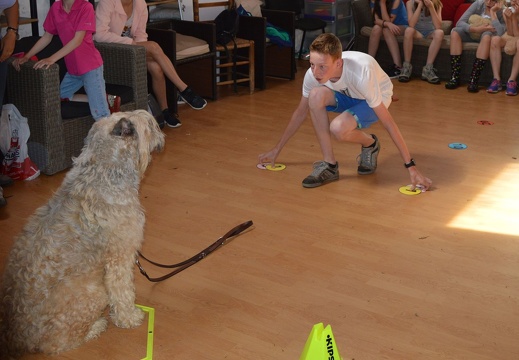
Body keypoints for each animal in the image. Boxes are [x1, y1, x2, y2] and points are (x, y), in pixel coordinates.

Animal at [0, 111, 165, 358]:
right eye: (151, 125)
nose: (162, 135)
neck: (105, 169)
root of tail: (17, 337)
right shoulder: (120, 257)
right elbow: (123, 291)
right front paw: (129, 317)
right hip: (94, 292)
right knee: (56, 344)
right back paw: (96, 326)